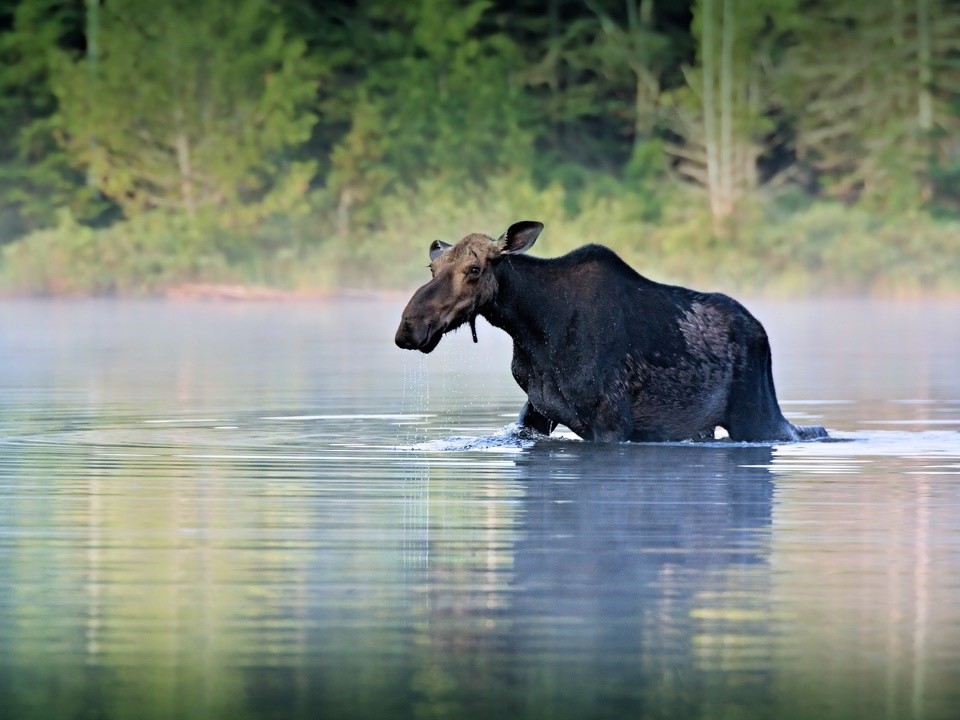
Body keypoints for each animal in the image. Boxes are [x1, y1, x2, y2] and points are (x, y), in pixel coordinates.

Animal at [394, 221, 828, 444]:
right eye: (432, 268)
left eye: (474, 270)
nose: (409, 327)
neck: (532, 328)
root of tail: (761, 333)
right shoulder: (536, 410)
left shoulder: (612, 421)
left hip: (756, 412)